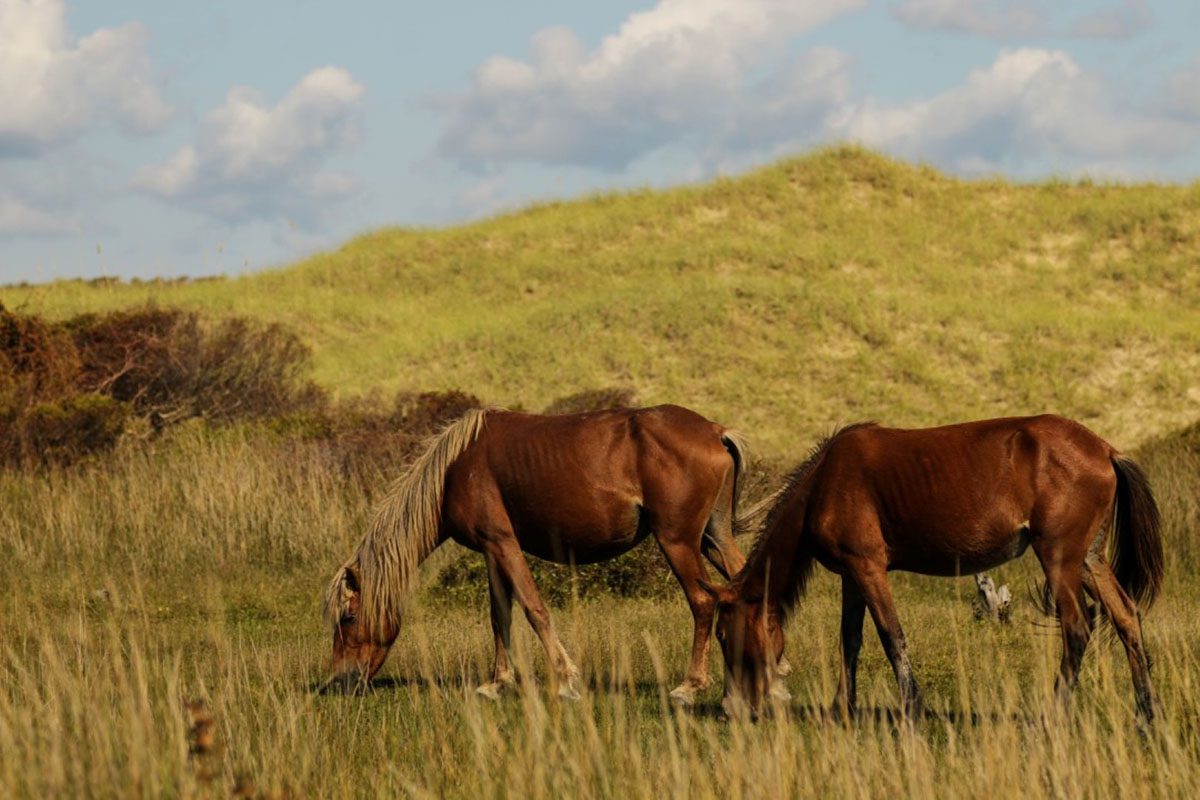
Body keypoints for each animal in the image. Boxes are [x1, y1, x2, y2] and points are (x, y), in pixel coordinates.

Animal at [321, 402, 777, 705]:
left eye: (349, 617)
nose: (341, 682)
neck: (454, 470)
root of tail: (715, 431)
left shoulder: (503, 544)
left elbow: (533, 609)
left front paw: (566, 680)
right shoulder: (492, 552)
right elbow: (499, 616)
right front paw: (496, 683)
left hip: (678, 541)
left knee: (702, 602)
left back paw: (689, 685)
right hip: (713, 538)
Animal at [700, 417, 1161, 724]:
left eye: (723, 634)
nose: (729, 711)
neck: (825, 483)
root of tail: (1106, 451)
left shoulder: (869, 568)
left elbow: (892, 637)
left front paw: (912, 710)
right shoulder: (852, 575)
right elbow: (850, 641)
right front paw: (840, 711)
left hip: (1060, 559)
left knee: (1077, 628)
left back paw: (1053, 714)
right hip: (1088, 561)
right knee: (1126, 618)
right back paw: (1146, 713)